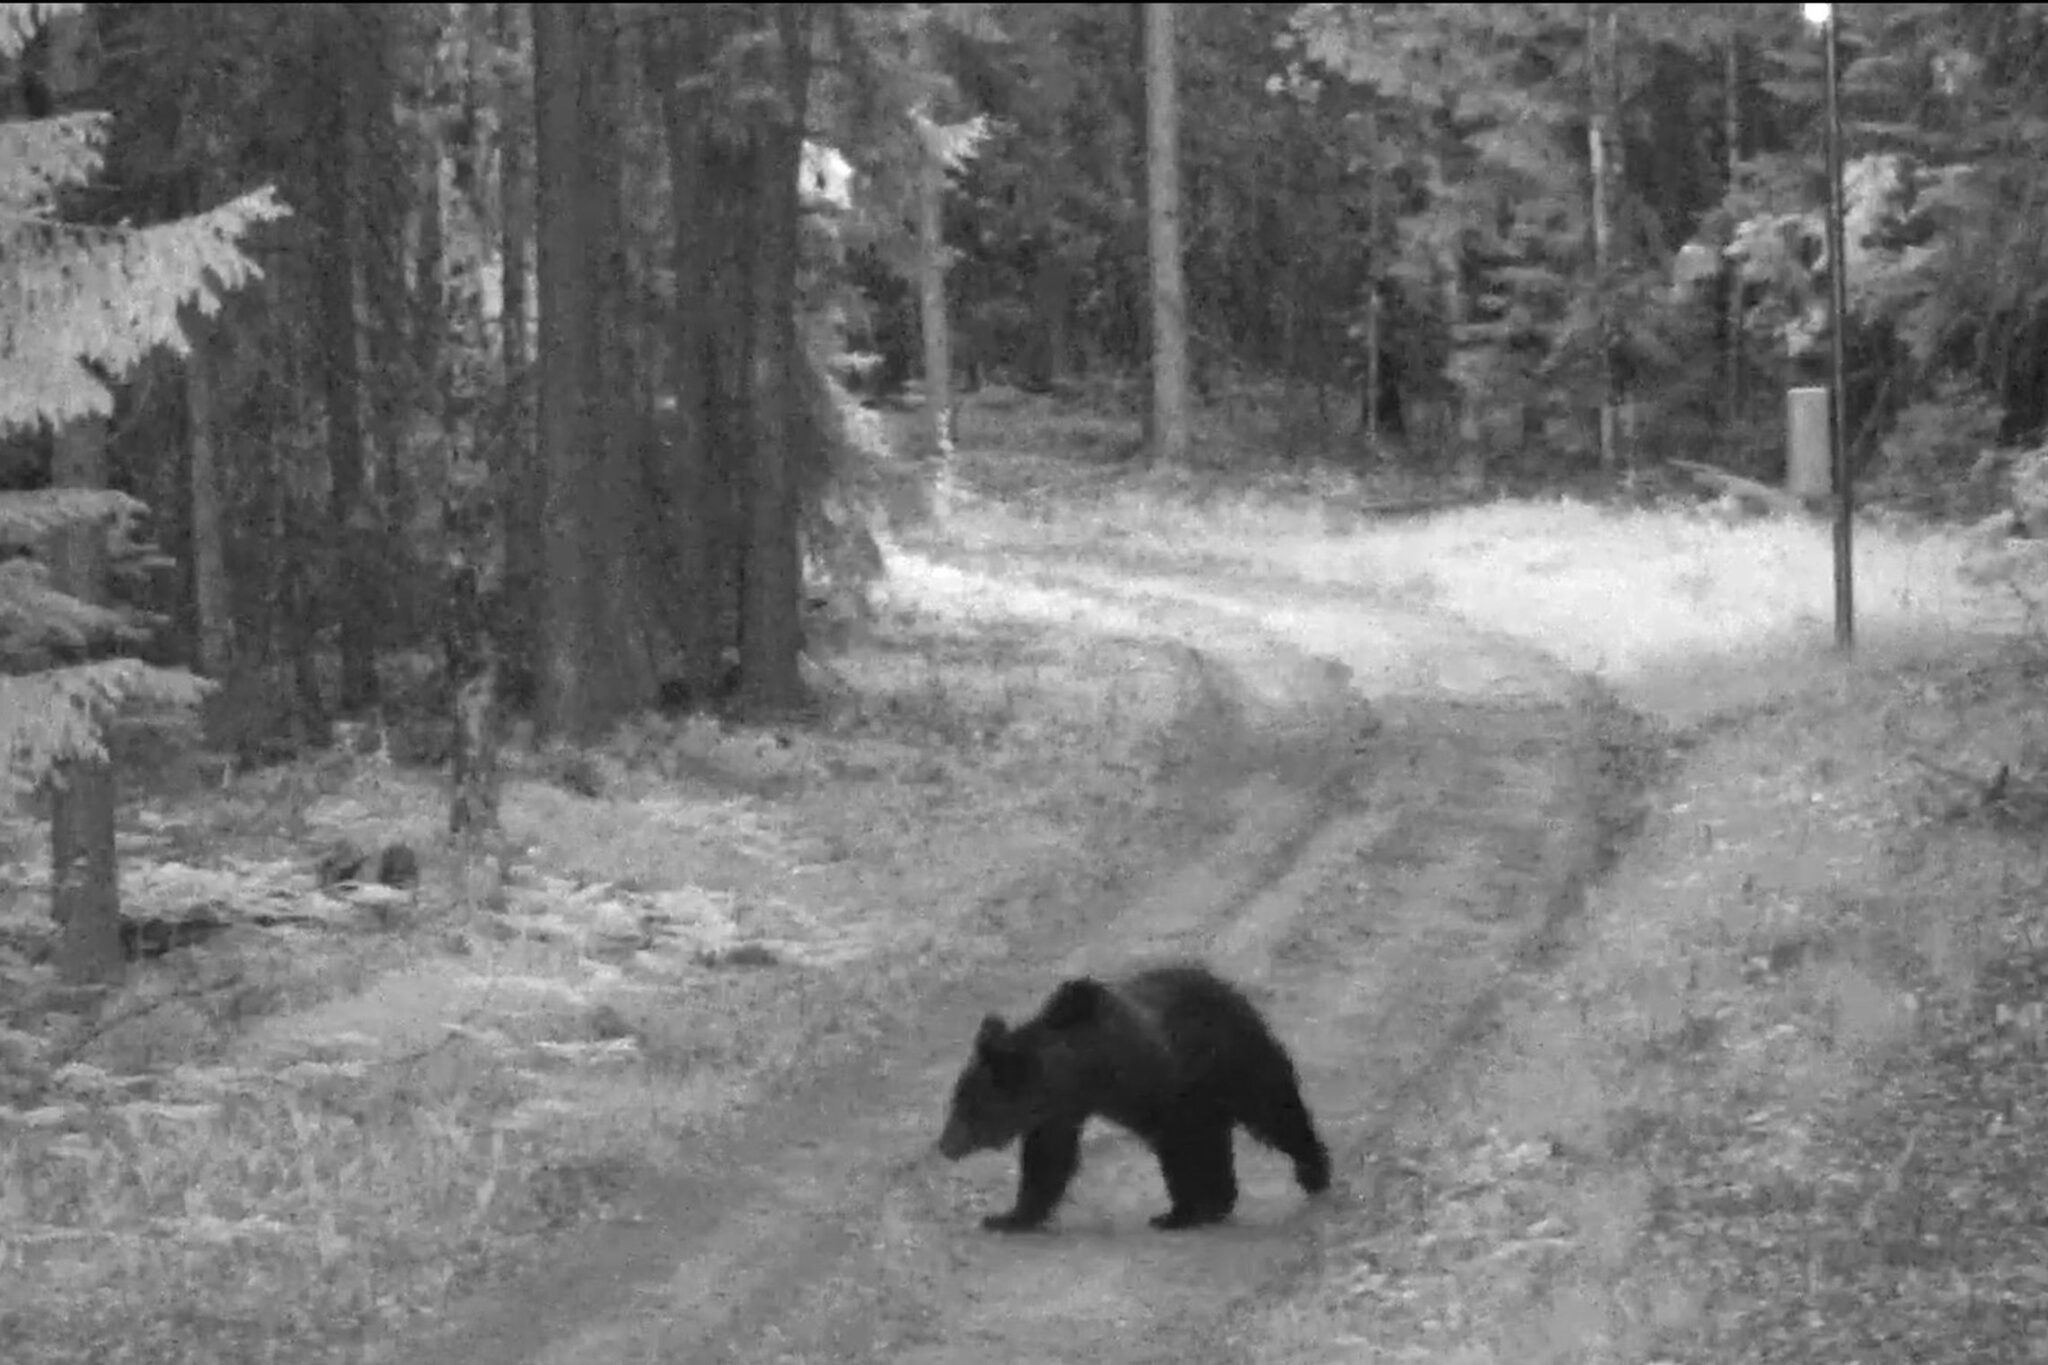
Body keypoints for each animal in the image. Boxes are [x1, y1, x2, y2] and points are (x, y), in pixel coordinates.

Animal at [933, 961, 1327, 1236]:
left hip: (1238, 1061)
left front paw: (1182, 1211)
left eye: (968, 1107)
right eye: (957, 1101)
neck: (1086, 1070)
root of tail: (1229, 989)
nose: (944, 1145)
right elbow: (1048, 1161)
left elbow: (1182, 1149)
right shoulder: (1061, 1113)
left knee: (1276, 1111)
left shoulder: (1163, 1091)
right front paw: (1009, 1217)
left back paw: (1313, 1172)